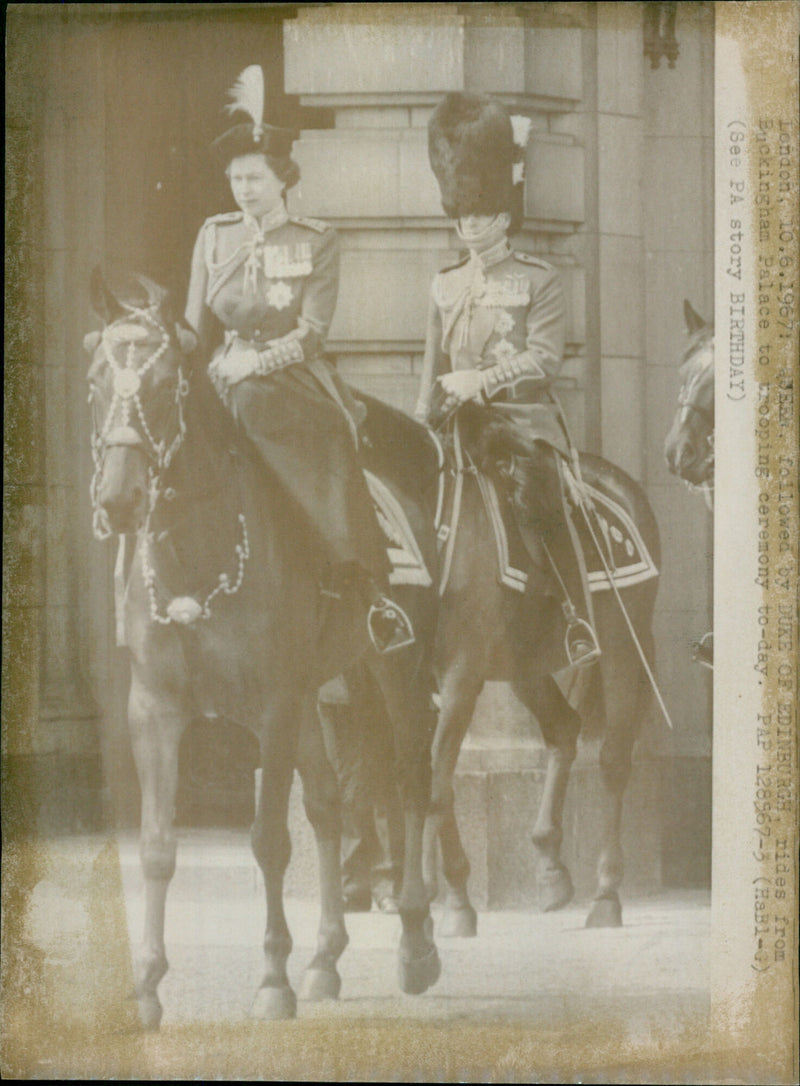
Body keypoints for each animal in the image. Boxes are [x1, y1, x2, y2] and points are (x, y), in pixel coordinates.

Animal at [87, 273, 440, 1025]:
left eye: (163, 382)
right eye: (97, 377)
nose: (121, 500)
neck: (199, 549)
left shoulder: (272, 708)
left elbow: (269, 839)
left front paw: (272, 978)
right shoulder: (154, 709)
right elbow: (157, 846)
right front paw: (149, 982)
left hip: (396, 671)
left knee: (409, 782)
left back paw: (417, 943)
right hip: (320, 691)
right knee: (332, 802)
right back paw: (327, 958)